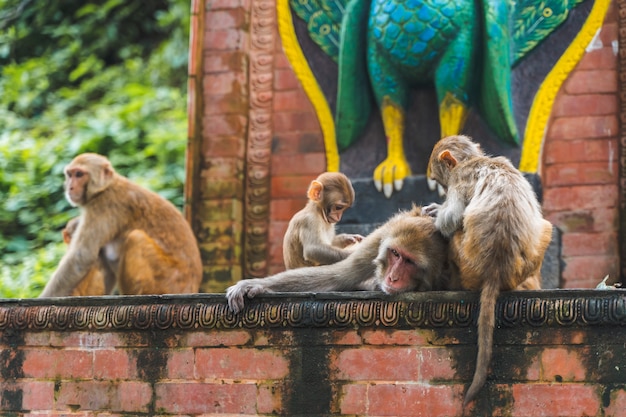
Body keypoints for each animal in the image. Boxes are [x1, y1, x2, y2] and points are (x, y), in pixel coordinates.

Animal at [37, 153, 202, 296]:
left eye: (79, 174)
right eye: (70, 174)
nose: (70, 187)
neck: (106, 188)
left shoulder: (103, 206)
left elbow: (81, 257)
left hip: (166, 282)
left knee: (135, 238)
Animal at [227, 205, 446, 312]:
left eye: (409, 262)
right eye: (395, 254)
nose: (392, 277)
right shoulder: (380, 239)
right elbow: (336, 276)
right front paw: (254, 285)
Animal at [422, 134, 548, 406]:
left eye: (439, 181)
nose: (443, 191)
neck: (474, 160)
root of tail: (495, 271)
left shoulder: (460, 179)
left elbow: (450, 219)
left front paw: (437, 213)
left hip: (464, 261)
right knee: (546, 226)